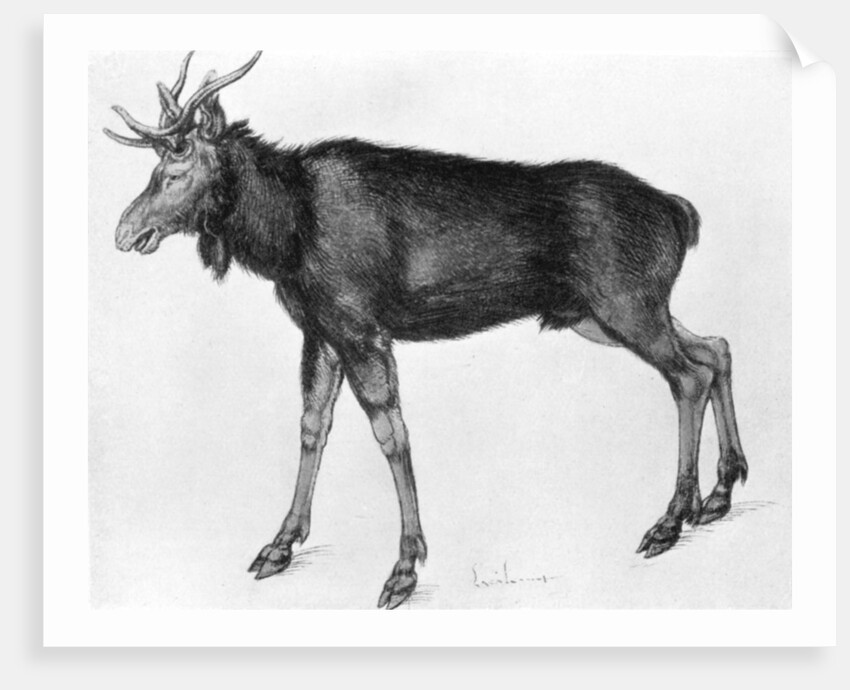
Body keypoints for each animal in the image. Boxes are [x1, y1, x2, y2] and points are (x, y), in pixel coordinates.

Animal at [104, 51, 748, 609]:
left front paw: (404, 567)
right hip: (606, 314)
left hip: (625, 306)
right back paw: (719, 494)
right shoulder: (321, 333)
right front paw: (280, 544)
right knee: (715, 347)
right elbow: (313, 427)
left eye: (175, 169)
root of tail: (680, 213)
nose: (124, 232)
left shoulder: (361, 329)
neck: (284, 233)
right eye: (155, 168)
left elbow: (392, 435)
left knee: (688, 375)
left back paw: (670, 519)